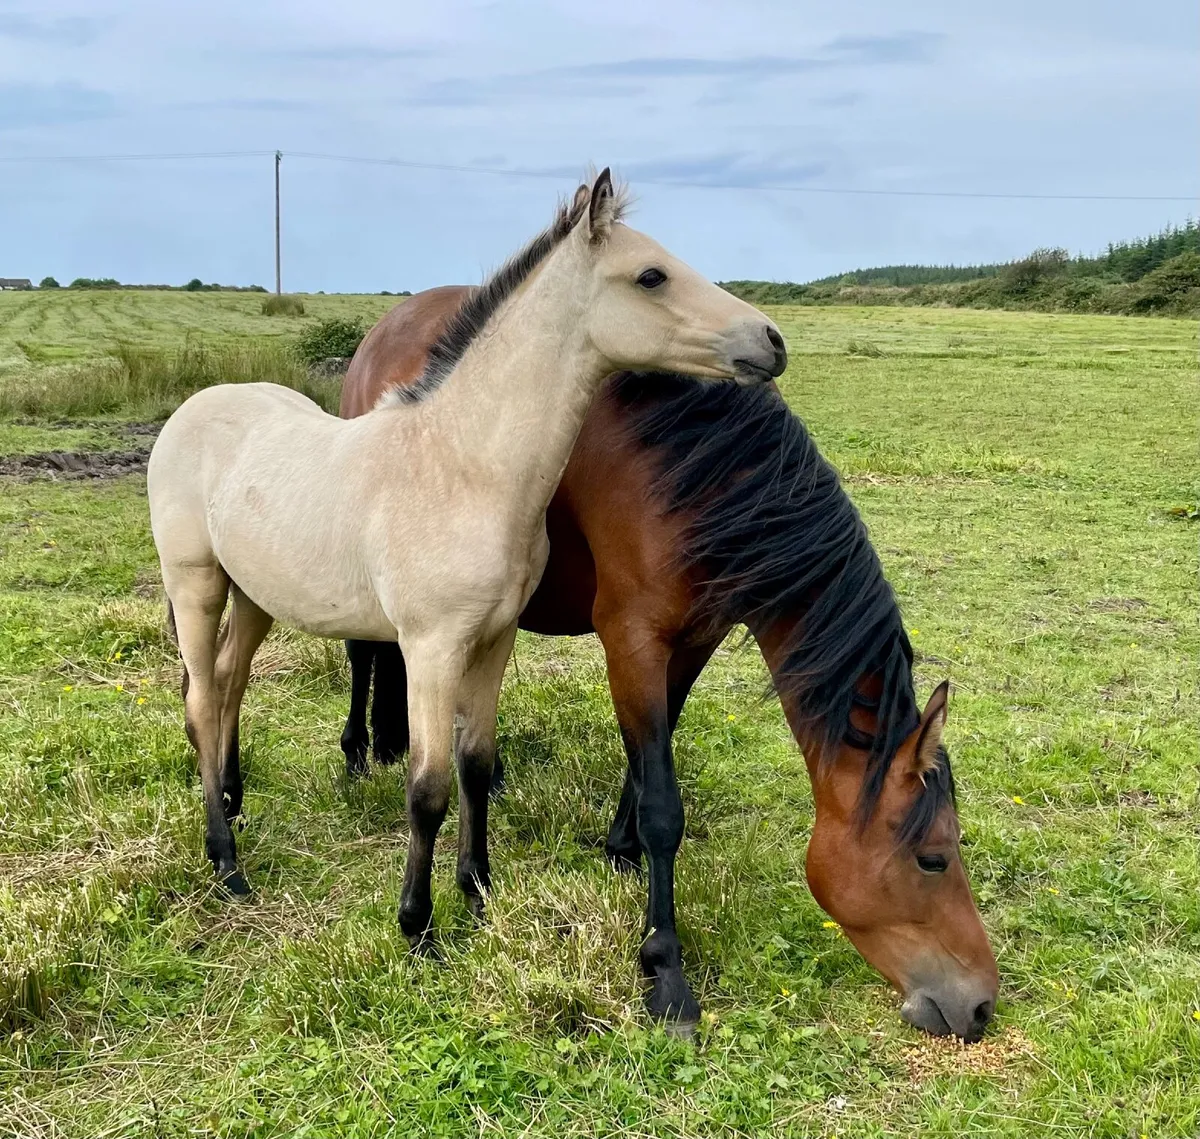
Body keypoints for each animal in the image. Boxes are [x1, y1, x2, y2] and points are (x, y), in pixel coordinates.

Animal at [147, 169, 788, 953]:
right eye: (651, 275)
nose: (770, 341)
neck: (464, 466)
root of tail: (194, 408)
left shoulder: (495, 638)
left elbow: (476, 764)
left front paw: (477, 892)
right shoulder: (431, 647)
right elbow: (427, 785)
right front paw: (417, 925)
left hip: (255, 594)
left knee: (227, 683)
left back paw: (235, 808)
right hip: (196, 584)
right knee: (202, 703)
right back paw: (226, 862)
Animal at [339, 288, 999, 1041]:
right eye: (933, 858)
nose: (981, 1003)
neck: (699, 473)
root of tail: (383, 330)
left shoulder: (694, 641)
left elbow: (648, 757)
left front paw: (620, 850)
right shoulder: (632, 639)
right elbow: (662, 801)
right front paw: (664, 965)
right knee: (362, 654)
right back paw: (357, 753)